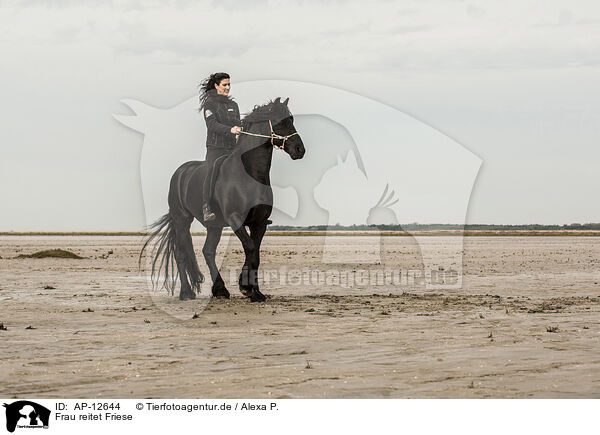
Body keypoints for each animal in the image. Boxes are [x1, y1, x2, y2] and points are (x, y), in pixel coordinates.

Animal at [141, 98, 304, 304]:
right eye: (280, 122)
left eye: (291, 120)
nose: (300, 150)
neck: (249, 175)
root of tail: (181, 172)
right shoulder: (235, 219)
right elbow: (250, 247)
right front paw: (248, 289)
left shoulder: (259, 223)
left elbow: (255, 254)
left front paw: (253, 290)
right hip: (181, 220)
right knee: (180, 253)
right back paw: (186, 292)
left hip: (214, 225)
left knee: (208, 251)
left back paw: (220, 289)